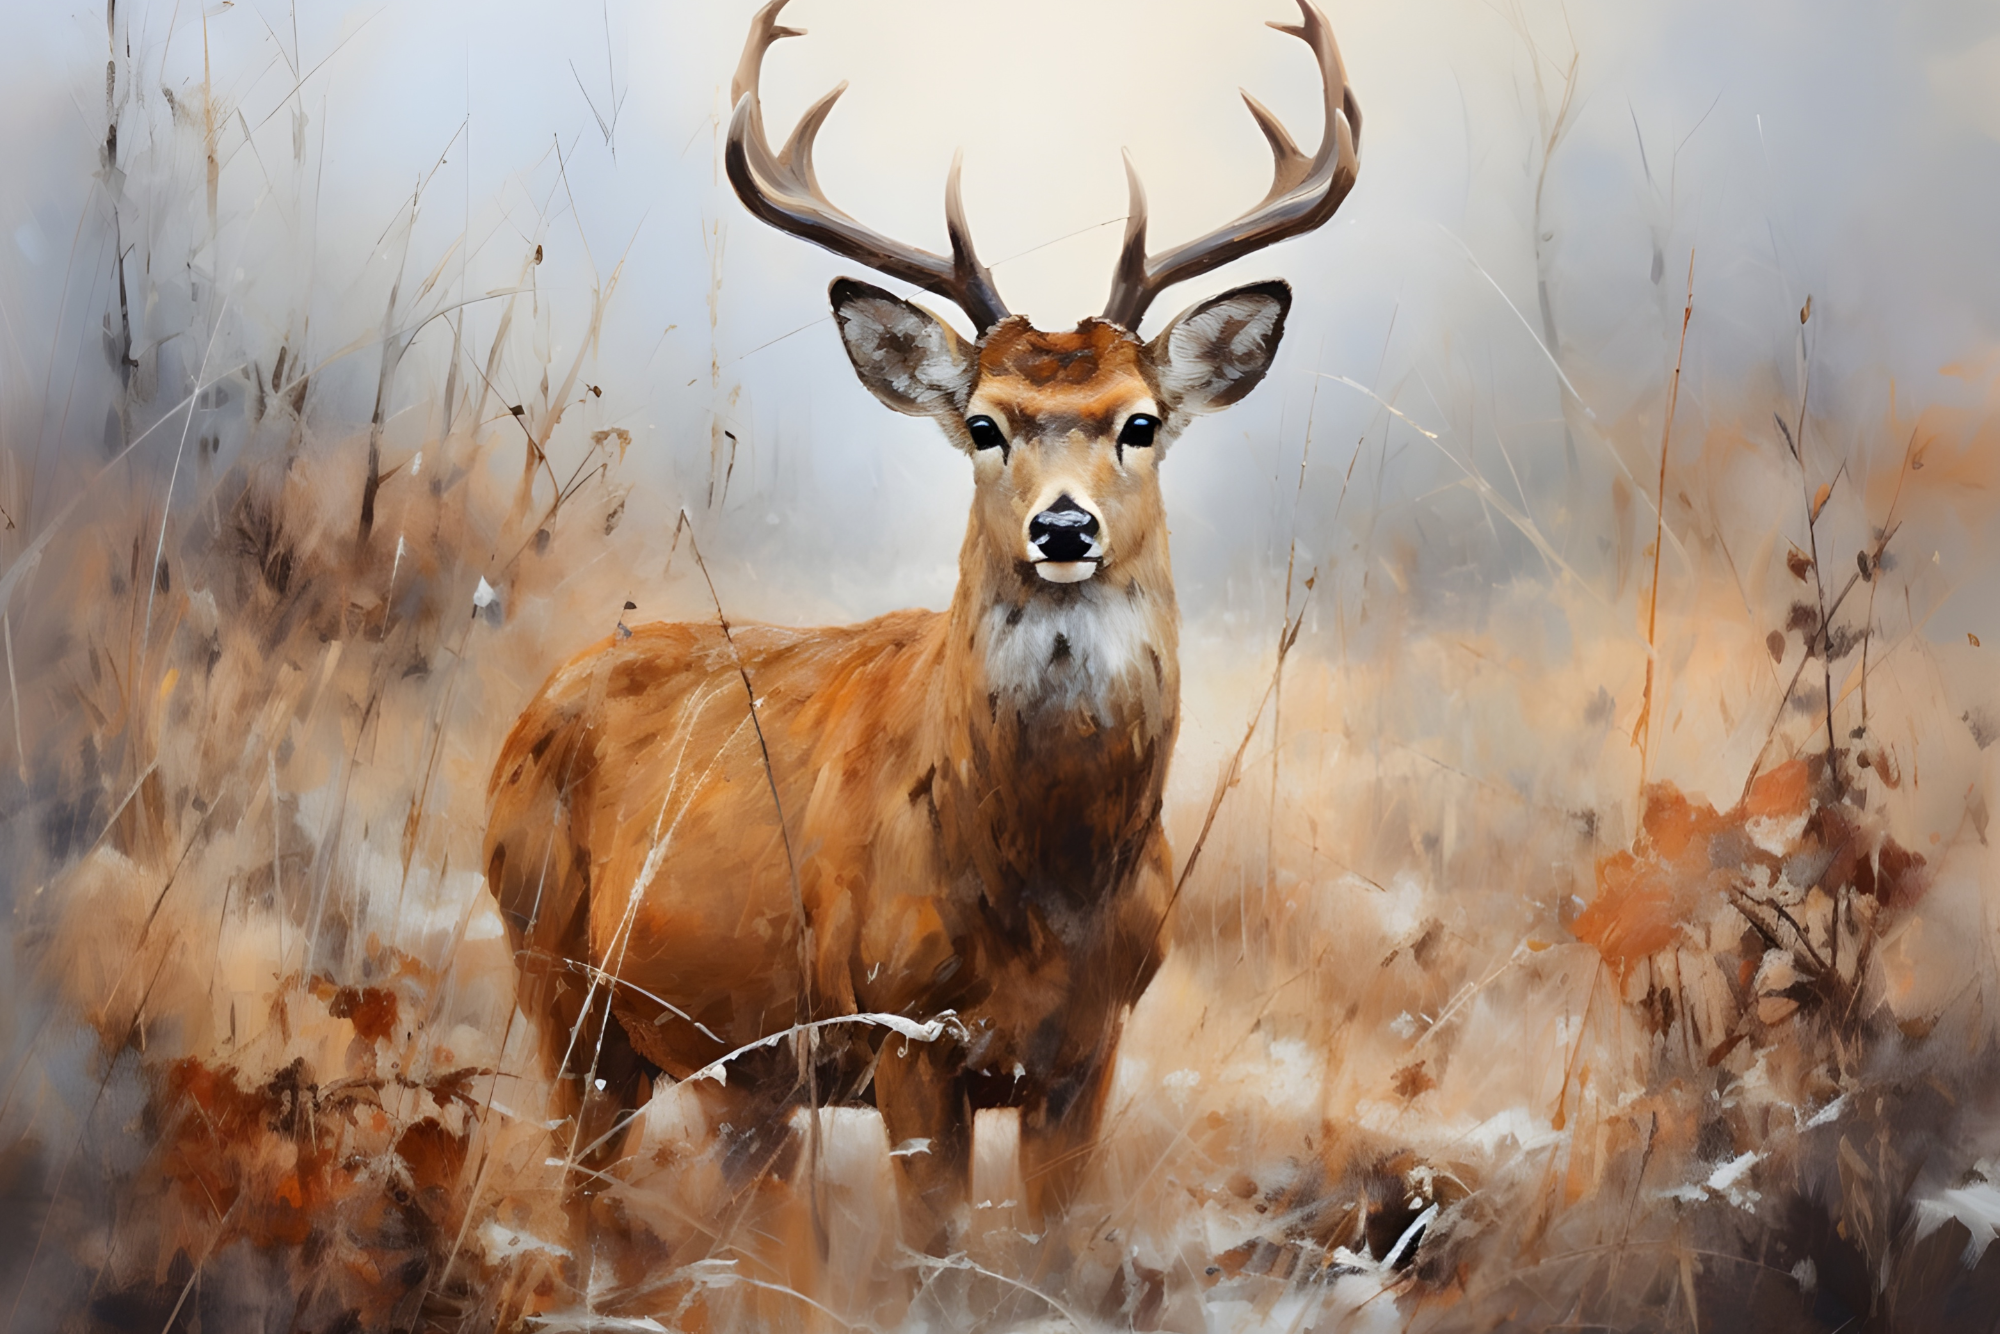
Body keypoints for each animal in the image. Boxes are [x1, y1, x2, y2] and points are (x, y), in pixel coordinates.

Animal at [483, 0, 1360, 1250]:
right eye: (985, 424)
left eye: (1139, 421)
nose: (1061, 526)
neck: (1043, 889)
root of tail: (530, 712)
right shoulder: (904, 1029)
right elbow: (932, 1250)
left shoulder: (1087, 1048)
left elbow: (1057, 1248)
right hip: (559, 982)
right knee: (583, 1196)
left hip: (731, 1061)